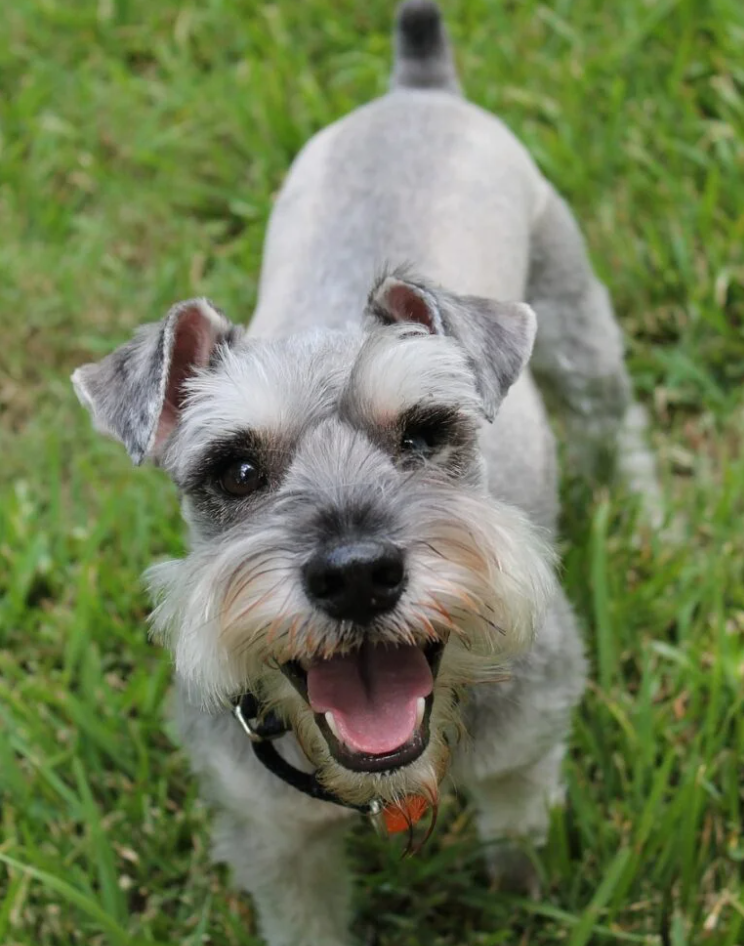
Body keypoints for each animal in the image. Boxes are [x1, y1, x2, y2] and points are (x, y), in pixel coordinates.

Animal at [72, 3, 660, 944]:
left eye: (424, 433)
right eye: (236, 469)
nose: (355, 576)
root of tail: (416, 87)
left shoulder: (526, 755)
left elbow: (519, 840)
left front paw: (525, 901)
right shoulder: (273, 839)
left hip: (575, 326)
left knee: (616, 424)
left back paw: (650, 518)